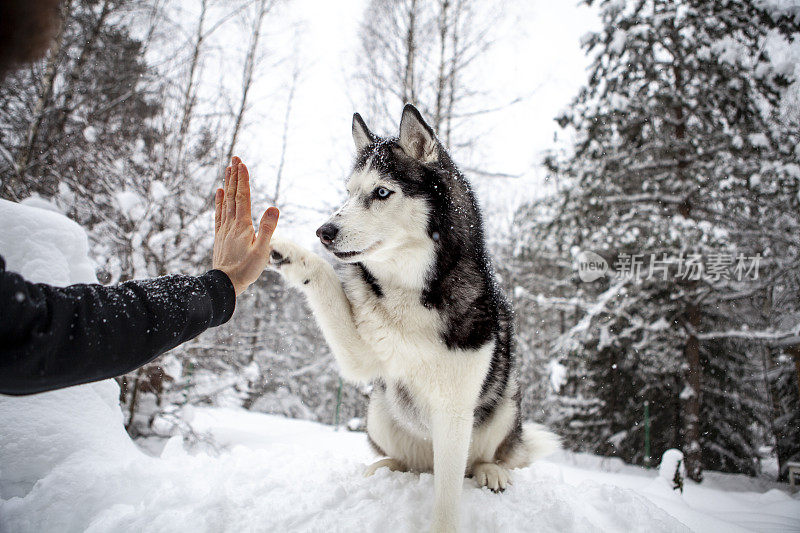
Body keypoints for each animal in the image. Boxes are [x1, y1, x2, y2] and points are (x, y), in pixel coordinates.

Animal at [268, 105, 556, 532]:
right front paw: (292, 256)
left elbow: (448, 499)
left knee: (482, 461)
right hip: (378, 410)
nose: (324, 231)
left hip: (505, 403)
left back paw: (492, 471)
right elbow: (325, 280)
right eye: (349, 192)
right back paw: (383, 467)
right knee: (406, 462)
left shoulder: (454, 410)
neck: (412, 291)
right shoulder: (364, 357)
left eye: (381, 192)